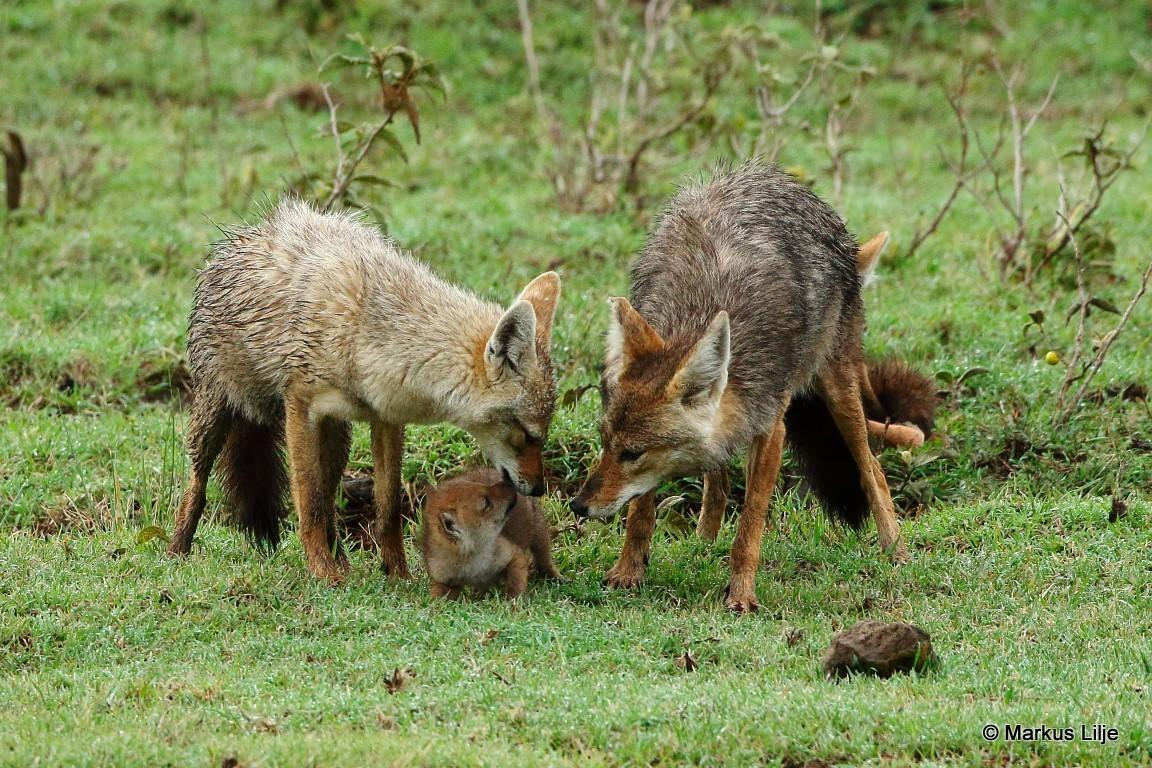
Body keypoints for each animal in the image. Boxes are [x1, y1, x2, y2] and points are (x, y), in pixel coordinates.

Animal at [168, 199, 561, 584]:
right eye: (527, 435)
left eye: (541, 436)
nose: (540, 489)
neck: (372, 332)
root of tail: (244, 234)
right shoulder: (300, 407)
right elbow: (308, 503)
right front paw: (322, 573)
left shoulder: (386, 419)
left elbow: (387, 507)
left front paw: (397, 574)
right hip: (217, 415)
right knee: (198, 484)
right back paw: (177, 550)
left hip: (337, 439)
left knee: (330, 501)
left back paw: (342, 561)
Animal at [421, 467, 560, 599]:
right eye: (486, 503)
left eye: (477, 484)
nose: (509, 482)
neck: (471, 561)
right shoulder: (445, 581)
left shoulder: (514, 555)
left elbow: (516, 585)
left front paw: (512, 603)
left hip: (539, 532)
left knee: (544, 560)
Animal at [571, 161, 922, 612]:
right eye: (606, 445)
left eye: (632, 453)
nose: (578, 505)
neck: (701, 311)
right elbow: (641, 511)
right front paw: (628, 571)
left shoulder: (772, 430)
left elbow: (750, 524)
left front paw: (740, 596)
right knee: (718, 485)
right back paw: (703, 544)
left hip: (839, 392)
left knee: (872, 468)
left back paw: (896, 550)